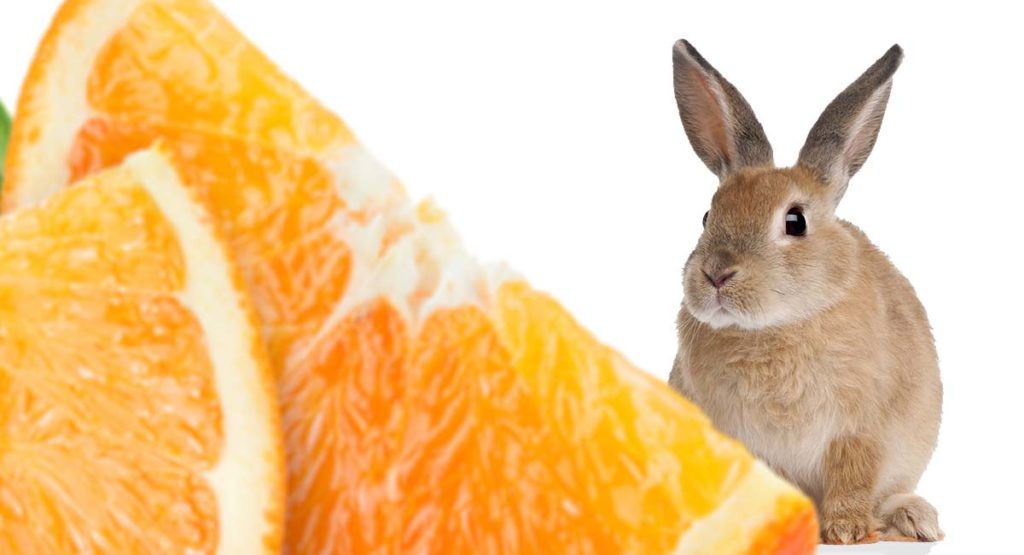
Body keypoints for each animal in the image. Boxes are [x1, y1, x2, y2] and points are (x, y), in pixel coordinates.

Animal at [666, 40, 943, 545]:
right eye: (707, 216)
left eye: (795, 221)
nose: (716, 275)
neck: (774, 327)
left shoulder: (859, 430)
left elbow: (853, 476)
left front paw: (848, 531)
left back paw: (915, 520)